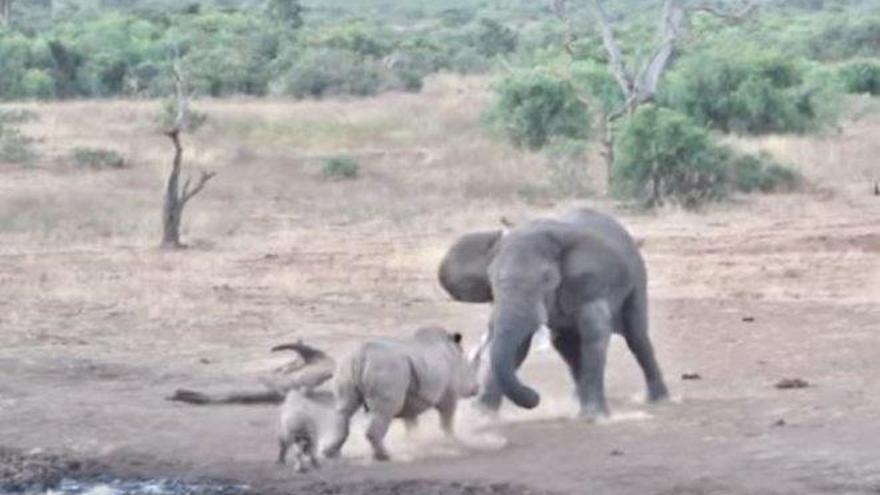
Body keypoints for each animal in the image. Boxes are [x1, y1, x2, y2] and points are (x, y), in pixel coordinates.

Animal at [324, 328, 478, 464]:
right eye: (470, 371)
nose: (476, 388)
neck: (455, 355)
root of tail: (362, 356)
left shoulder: (411, 400)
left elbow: (411, 424)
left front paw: (415, 443)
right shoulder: (448, 396)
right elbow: (447, 421)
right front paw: (455, 443)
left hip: (347, 367)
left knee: (343, 410)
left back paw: (330, 453)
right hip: (387, 368)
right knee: (384, 411)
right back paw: (384, 456)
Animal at [440, 207, 668, 420]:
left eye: (547, 280)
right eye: (491, 280)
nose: (536, 397)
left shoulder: (591, 285)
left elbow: (595, 333)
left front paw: (593, 417)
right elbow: (518, 348)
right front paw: (481, 415)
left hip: (637, 278)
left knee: (636, 336)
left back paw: (659, 401)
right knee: (565, 345)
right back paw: (577, 398)